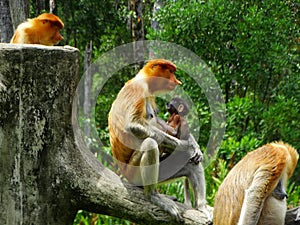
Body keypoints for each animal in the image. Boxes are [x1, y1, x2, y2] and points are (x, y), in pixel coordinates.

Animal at [108, 58, 209, 221]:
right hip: (133, 173)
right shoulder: (138, 89)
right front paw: (188, 146)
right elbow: (133, 124)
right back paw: (153, 196)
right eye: (170, 71)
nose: (177, 81)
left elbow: (162, 123)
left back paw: (202, 208)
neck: (144, 79)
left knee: (192, 164)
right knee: (150, 143)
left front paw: (195, 146)